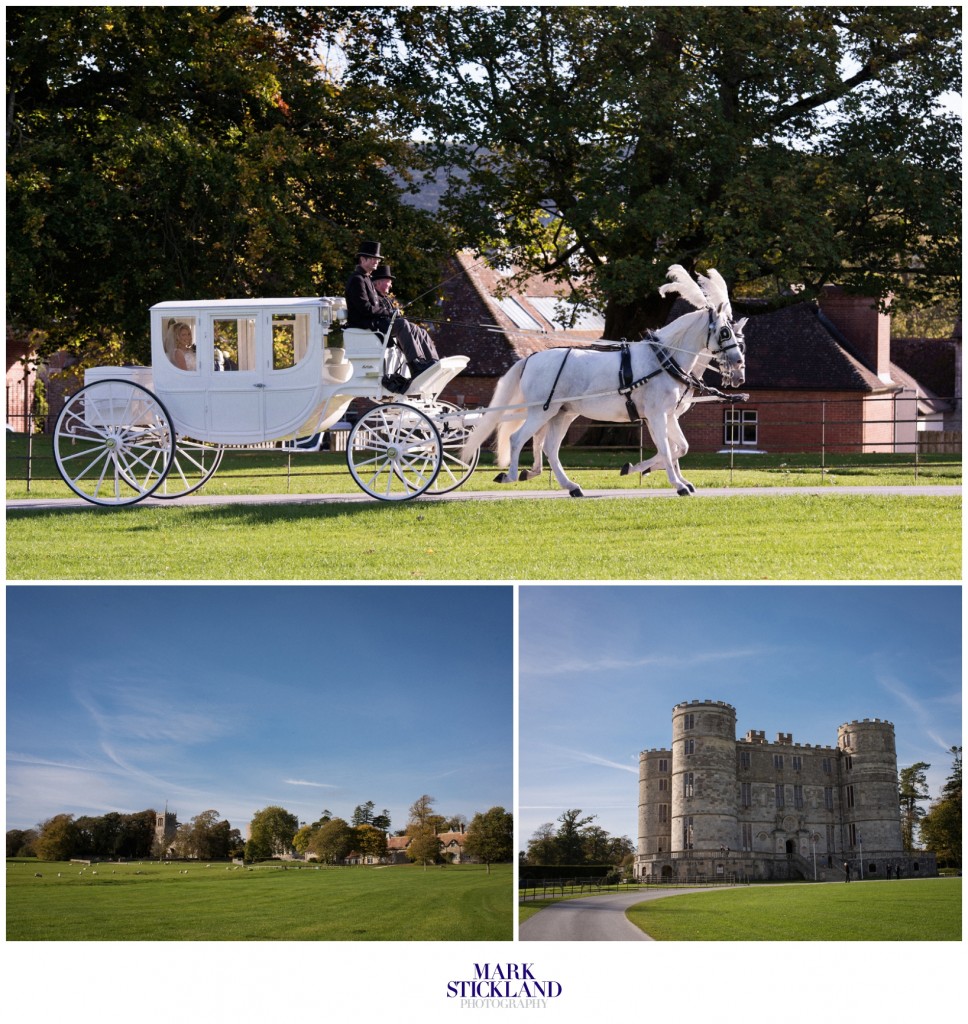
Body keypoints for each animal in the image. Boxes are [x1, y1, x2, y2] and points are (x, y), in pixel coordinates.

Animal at [460, 264, 749, 495]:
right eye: (725, 332)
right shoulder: (656, 415)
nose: (738, 365)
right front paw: (676, 484)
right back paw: (509, 475)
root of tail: (531, 358)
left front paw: (655, 473)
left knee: (550, 448)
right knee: (518, 439)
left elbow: (680, 447)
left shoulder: (668, 415)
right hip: (542, 411)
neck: (664, 360)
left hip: (562, 413)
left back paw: (571, 486)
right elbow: (668, 450)